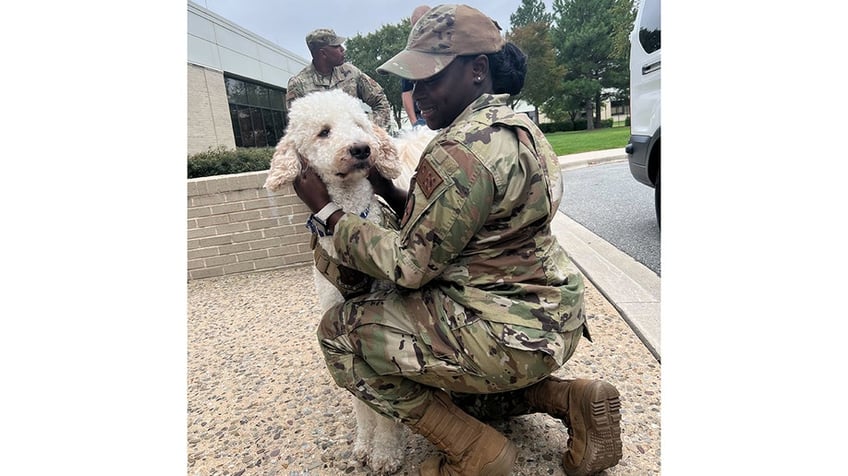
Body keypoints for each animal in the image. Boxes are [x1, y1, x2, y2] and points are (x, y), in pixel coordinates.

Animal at [264, 88, 438, 472]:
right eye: (323, 132)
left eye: (359, 124)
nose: (361, 148)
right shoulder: (334, 310)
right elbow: (361, 398)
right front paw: (362, 443)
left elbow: (385, 408)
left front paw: (385, 452)